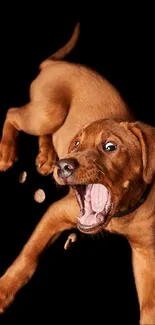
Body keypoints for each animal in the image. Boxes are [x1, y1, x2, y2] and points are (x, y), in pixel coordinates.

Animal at [0, 22, 155, 322]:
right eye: (77, 144)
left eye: (110, 147)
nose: (65, 165)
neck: (121, 216)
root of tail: (54, 65)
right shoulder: (56, 213)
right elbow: (29, 256)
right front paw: (3, 290)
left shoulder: (146, 254)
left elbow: (150, 306)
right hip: (48, 112)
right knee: (12, 112)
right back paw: (9, 152)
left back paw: (46, 157)